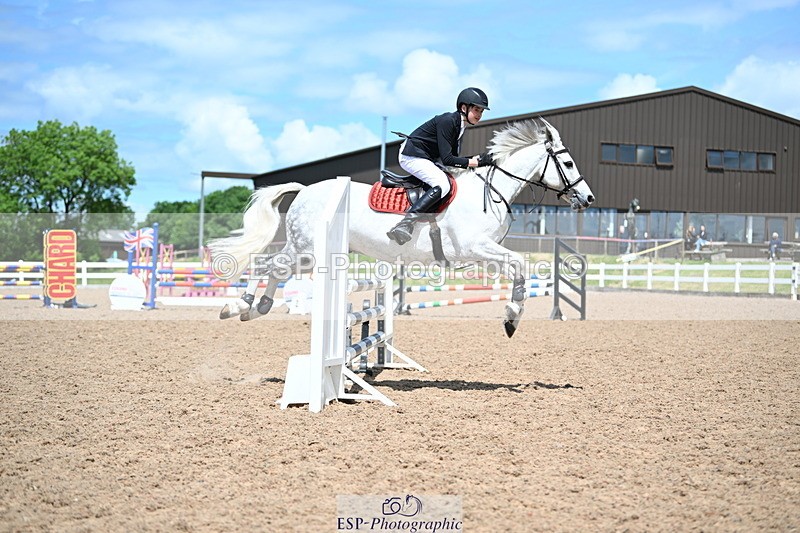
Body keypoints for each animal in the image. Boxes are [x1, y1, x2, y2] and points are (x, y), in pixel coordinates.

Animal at [209, 118, 594, 337]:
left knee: (274, 269)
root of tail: (305, 189)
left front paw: (512, 317)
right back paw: (240, 305)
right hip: (305, 249)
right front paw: (512, 317)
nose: (588, 198)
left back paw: (255, 308)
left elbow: (518, 267)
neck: (490, 190)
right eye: (568, 163)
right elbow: (520, 263)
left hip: (308, 254)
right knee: (268, 265)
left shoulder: (480, 254)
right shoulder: (474, 247)